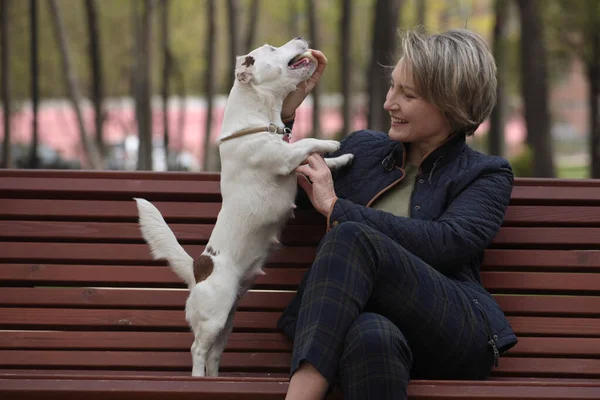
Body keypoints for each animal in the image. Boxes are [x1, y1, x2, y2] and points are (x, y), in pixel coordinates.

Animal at [134, 36, 354, 376]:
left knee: (213, 354)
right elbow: (306, 143)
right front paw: (331, 143)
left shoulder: (293, 164)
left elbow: (315, 163)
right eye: (272, 49)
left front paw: (340, 160)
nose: (301, 37)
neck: (260, 123)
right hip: (214, 317)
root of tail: (198, 270)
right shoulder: (282, 158)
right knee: (198, 349)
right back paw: (197, 378)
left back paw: (214, 378)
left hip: (228, 320)